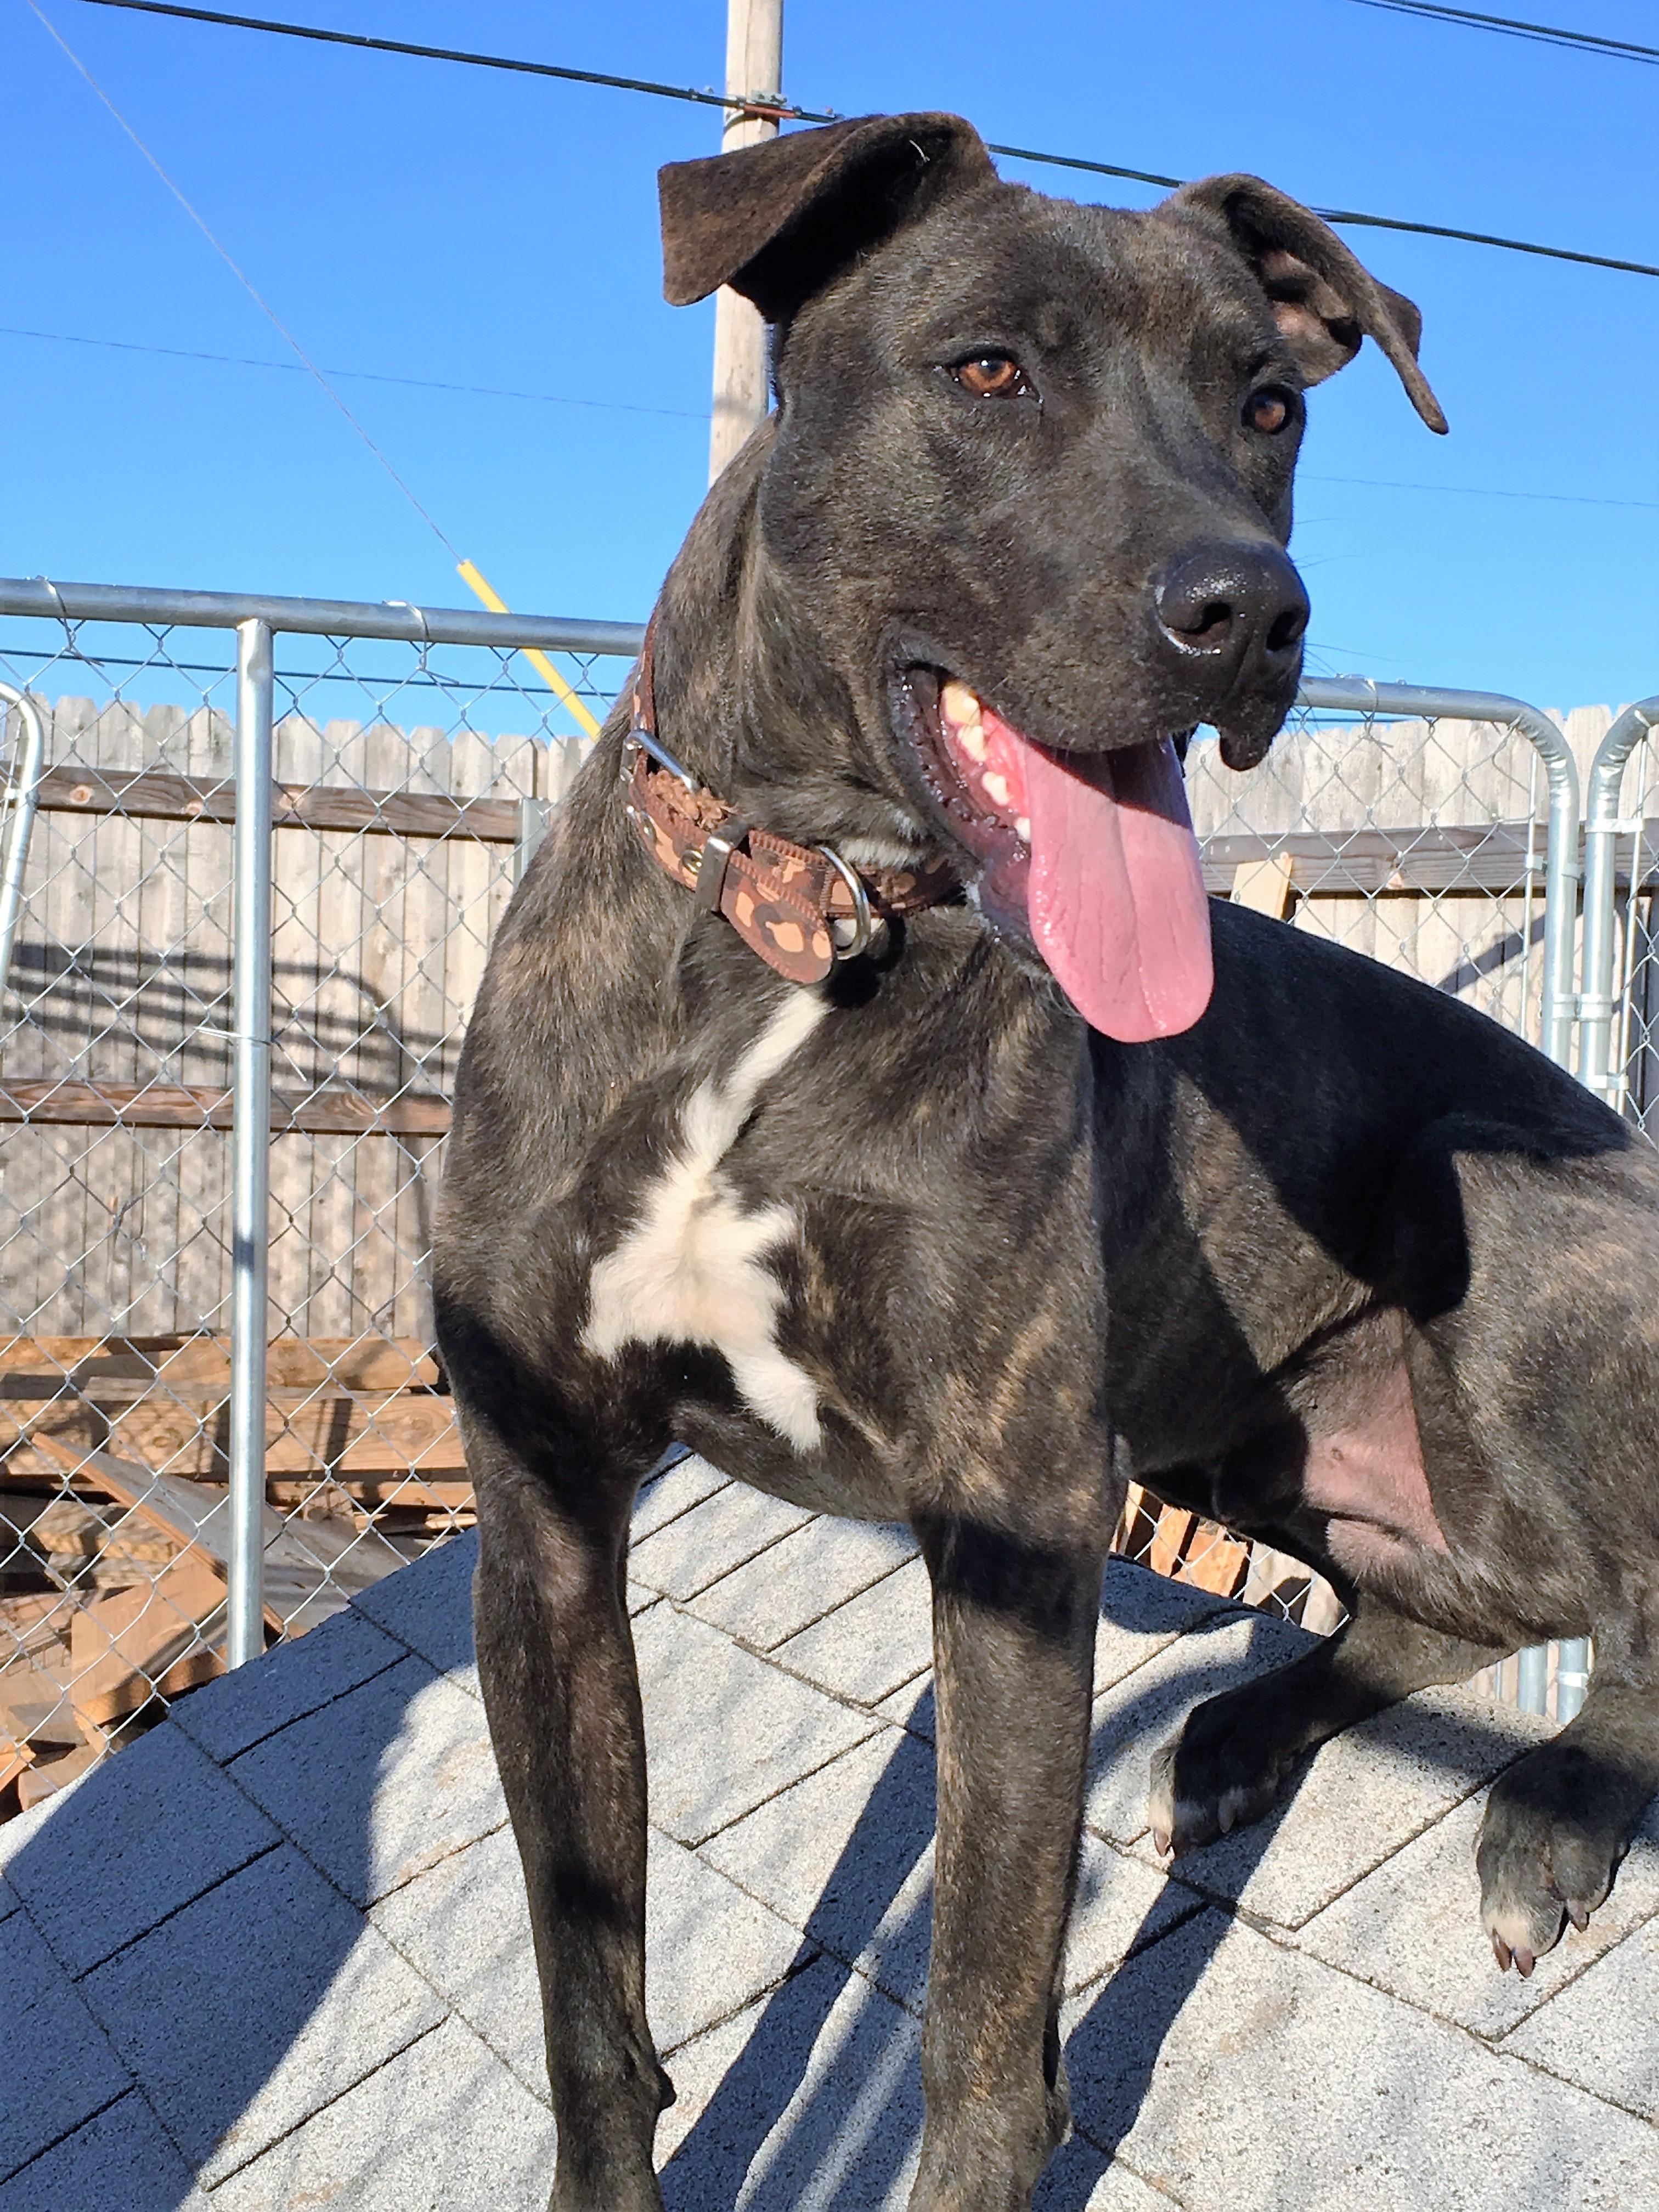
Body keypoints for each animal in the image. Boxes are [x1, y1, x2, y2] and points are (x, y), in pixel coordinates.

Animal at [431, 112, 1659, 2203]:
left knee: (1636, 1599)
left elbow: (987, 2022)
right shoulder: (545, 1509)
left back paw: (1559, 1808)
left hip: (1512, 1224)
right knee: (1457, 1601)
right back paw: (1242, 1735)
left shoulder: (1013, 1514)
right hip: (1257, 1440)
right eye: (989, 370)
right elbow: (585, 1997)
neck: (799, 935)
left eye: (1268, 403)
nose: (1252, 611)